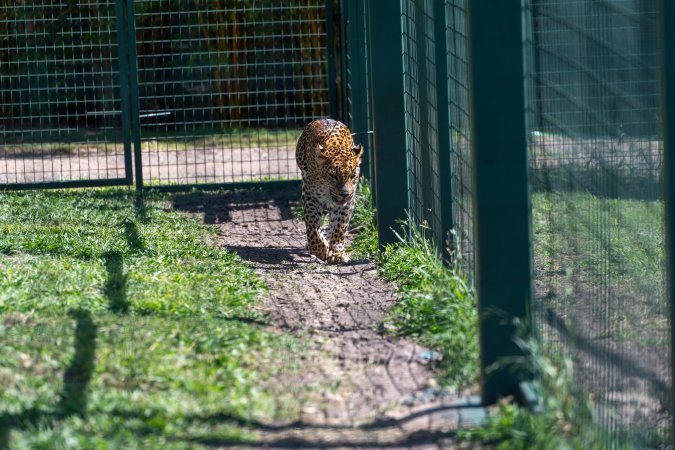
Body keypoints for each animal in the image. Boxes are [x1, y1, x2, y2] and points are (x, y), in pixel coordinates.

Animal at [296, 118, 363, 264]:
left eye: (352, 175)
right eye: (333, 175)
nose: (344, 194)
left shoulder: (348, 203)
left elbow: (340, 227)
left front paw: (337, 252)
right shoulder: (311, 197)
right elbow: (312, 226)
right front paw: (320, 250)